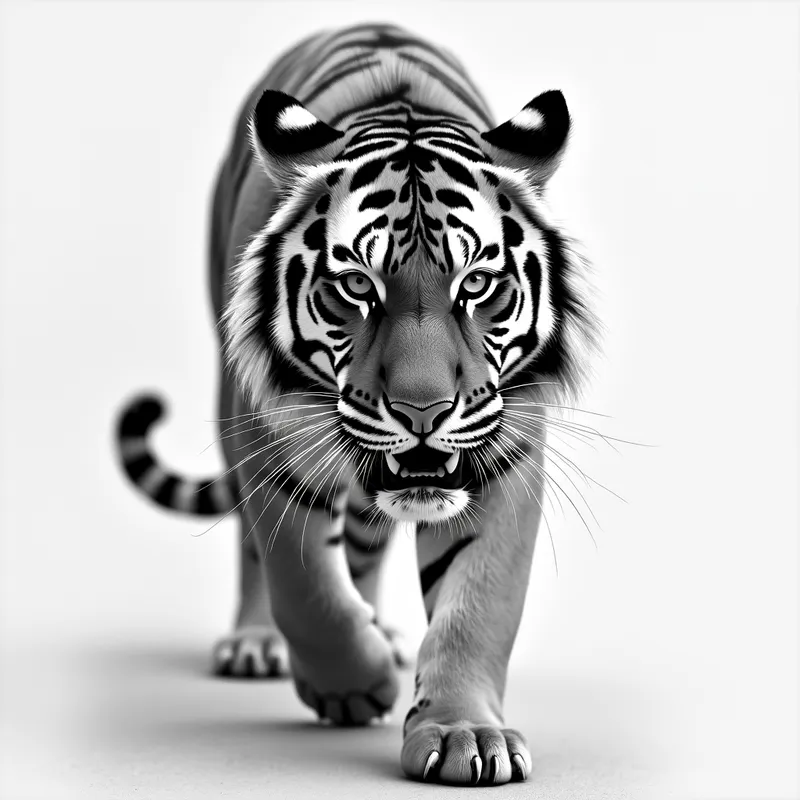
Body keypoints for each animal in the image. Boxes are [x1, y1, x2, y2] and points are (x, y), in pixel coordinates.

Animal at [117, 23, 599, 786]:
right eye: (356, 286)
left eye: (477, 283)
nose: (424, 411)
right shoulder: (269, 436)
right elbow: (305, 583)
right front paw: (350, 684)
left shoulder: (505, 455)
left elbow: (478, 605)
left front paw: (465, 734)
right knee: (257, 552)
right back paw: (257, 644)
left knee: (367, 548)